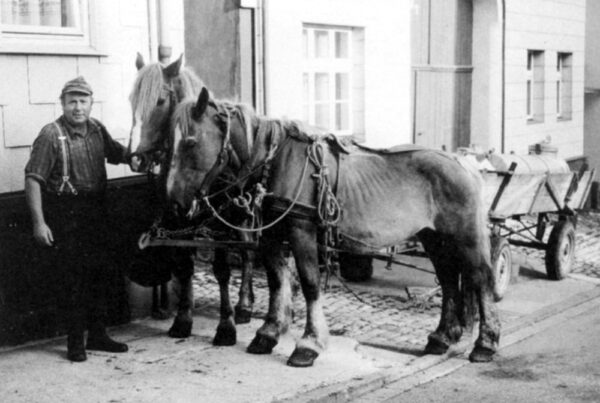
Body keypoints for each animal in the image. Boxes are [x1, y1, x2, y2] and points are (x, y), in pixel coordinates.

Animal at [126, 52, 258, 346]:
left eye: (160, 101)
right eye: (131, 100)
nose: (136, 157)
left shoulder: (218, 227)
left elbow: (221, 270)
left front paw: (226, 325)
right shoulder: (177, 220)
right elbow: (185, 267)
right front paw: (183, 319)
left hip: (241, 217)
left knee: (248, 252)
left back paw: (245, 305)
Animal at [165, 89, 502, 370]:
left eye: (191, 142)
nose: (176, 203)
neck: (275, 161)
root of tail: (464, 163)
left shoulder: (302, 233)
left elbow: (310, 284)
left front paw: (309, 344)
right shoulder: (272, 237)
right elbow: (277, 282)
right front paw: (268, 333)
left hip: (466, 238)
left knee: (481, 279)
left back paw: (485, 344)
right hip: (433, 239)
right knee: (448, 281)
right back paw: (442, 337)